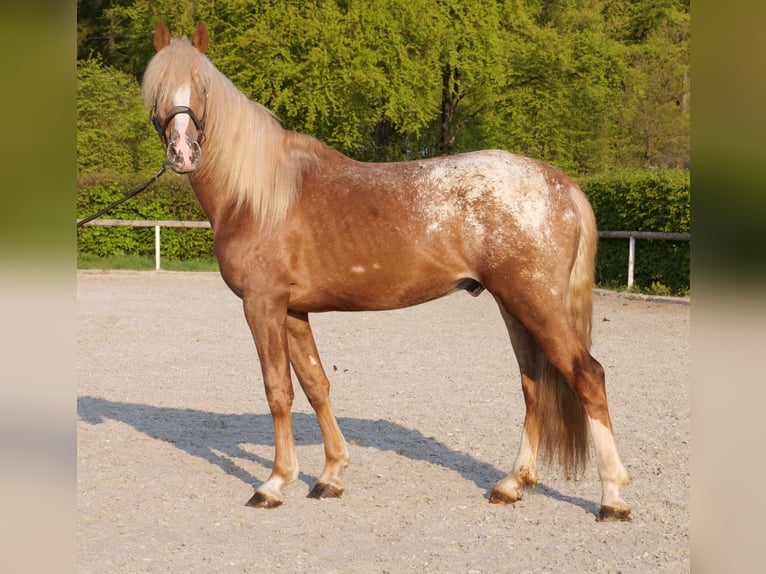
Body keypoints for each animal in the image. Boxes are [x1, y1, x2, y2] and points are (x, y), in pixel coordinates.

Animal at [142, 21, 631, 521]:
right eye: (156, 89)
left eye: (201, 87)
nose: (182, 152)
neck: (258, 197)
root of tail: (561, 183)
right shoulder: (293, 311)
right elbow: (316, 384)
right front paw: (330, 474)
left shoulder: (263, 305)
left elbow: (278, 390)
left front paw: (275, 482)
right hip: (515, 308)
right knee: (533, 385)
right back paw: (513, 484)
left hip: (536, 304)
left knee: (587, 375)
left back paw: (612, 496)